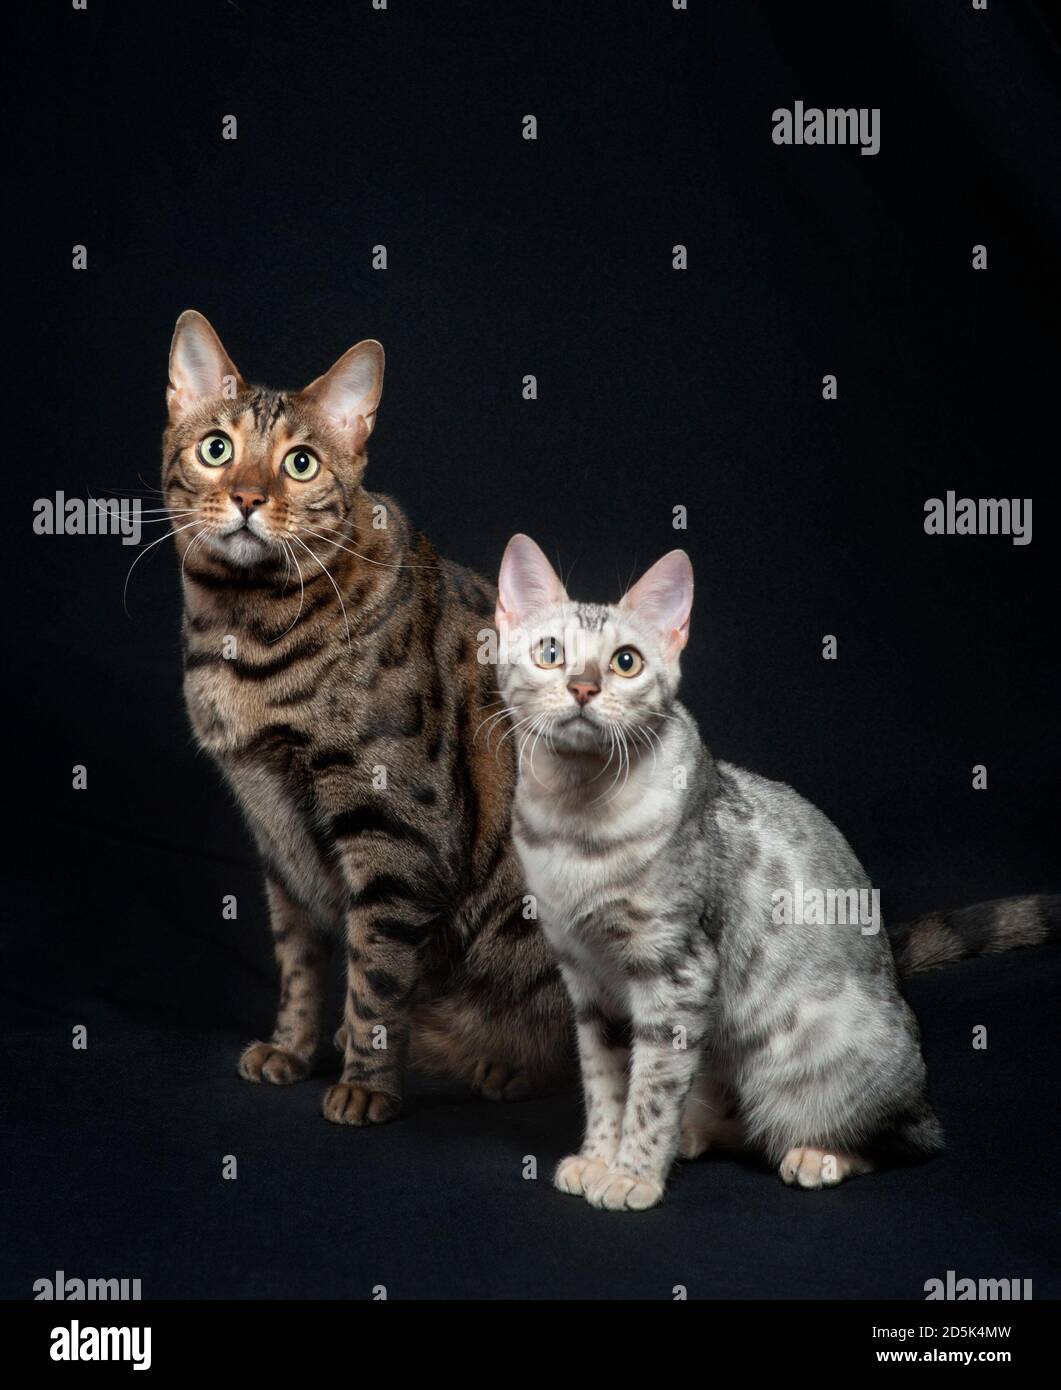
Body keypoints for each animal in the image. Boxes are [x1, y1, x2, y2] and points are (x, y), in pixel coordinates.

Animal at [162, 309, 572, 1123]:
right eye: (216, 449)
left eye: (299, 465)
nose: (249, 498)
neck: (243, 633)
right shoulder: (276, 837)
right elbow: (300, 962)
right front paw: (290, 1049)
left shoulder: (393, 834)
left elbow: (376, 978)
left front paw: (365, 1083)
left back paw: (506, 1068)